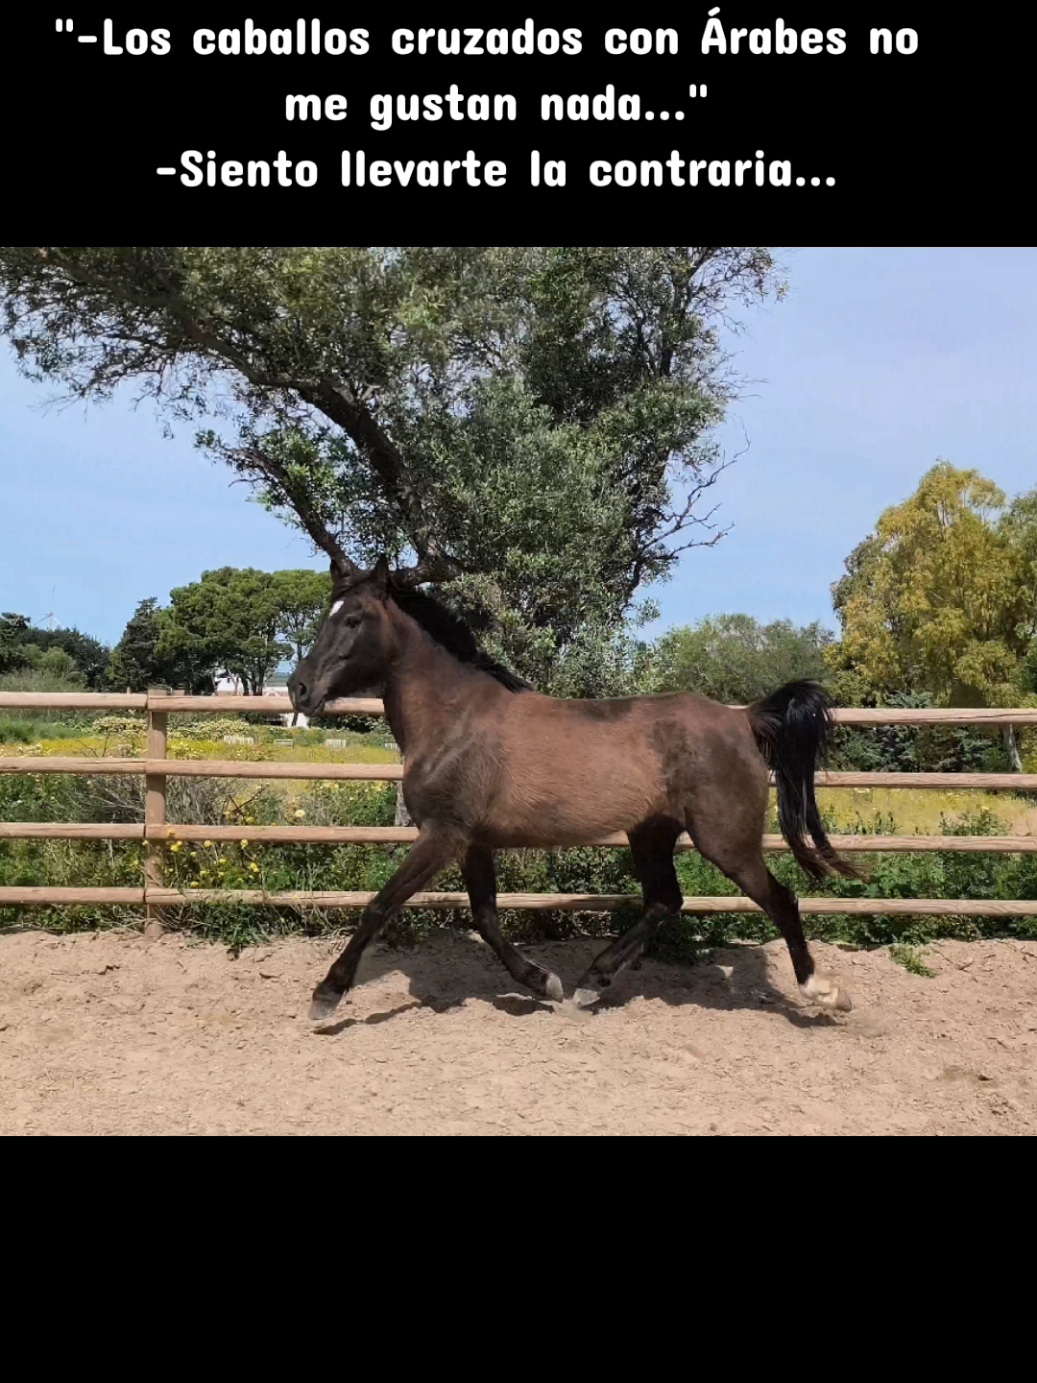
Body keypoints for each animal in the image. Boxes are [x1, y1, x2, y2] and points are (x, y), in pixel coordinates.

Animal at [289, 556, 859, 1023]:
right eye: (327, 614)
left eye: (353, 619)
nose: (300, 689)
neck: (455, 719)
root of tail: (744, 718)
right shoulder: (471, 840)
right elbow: (486, 917)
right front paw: (544, 983)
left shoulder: (442, 833)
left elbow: (380, 905)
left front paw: (326, 996)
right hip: (651, 832)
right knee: (664, 901)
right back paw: (592, 982)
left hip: (725, 841)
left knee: (780, 899)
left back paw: (823, 992)